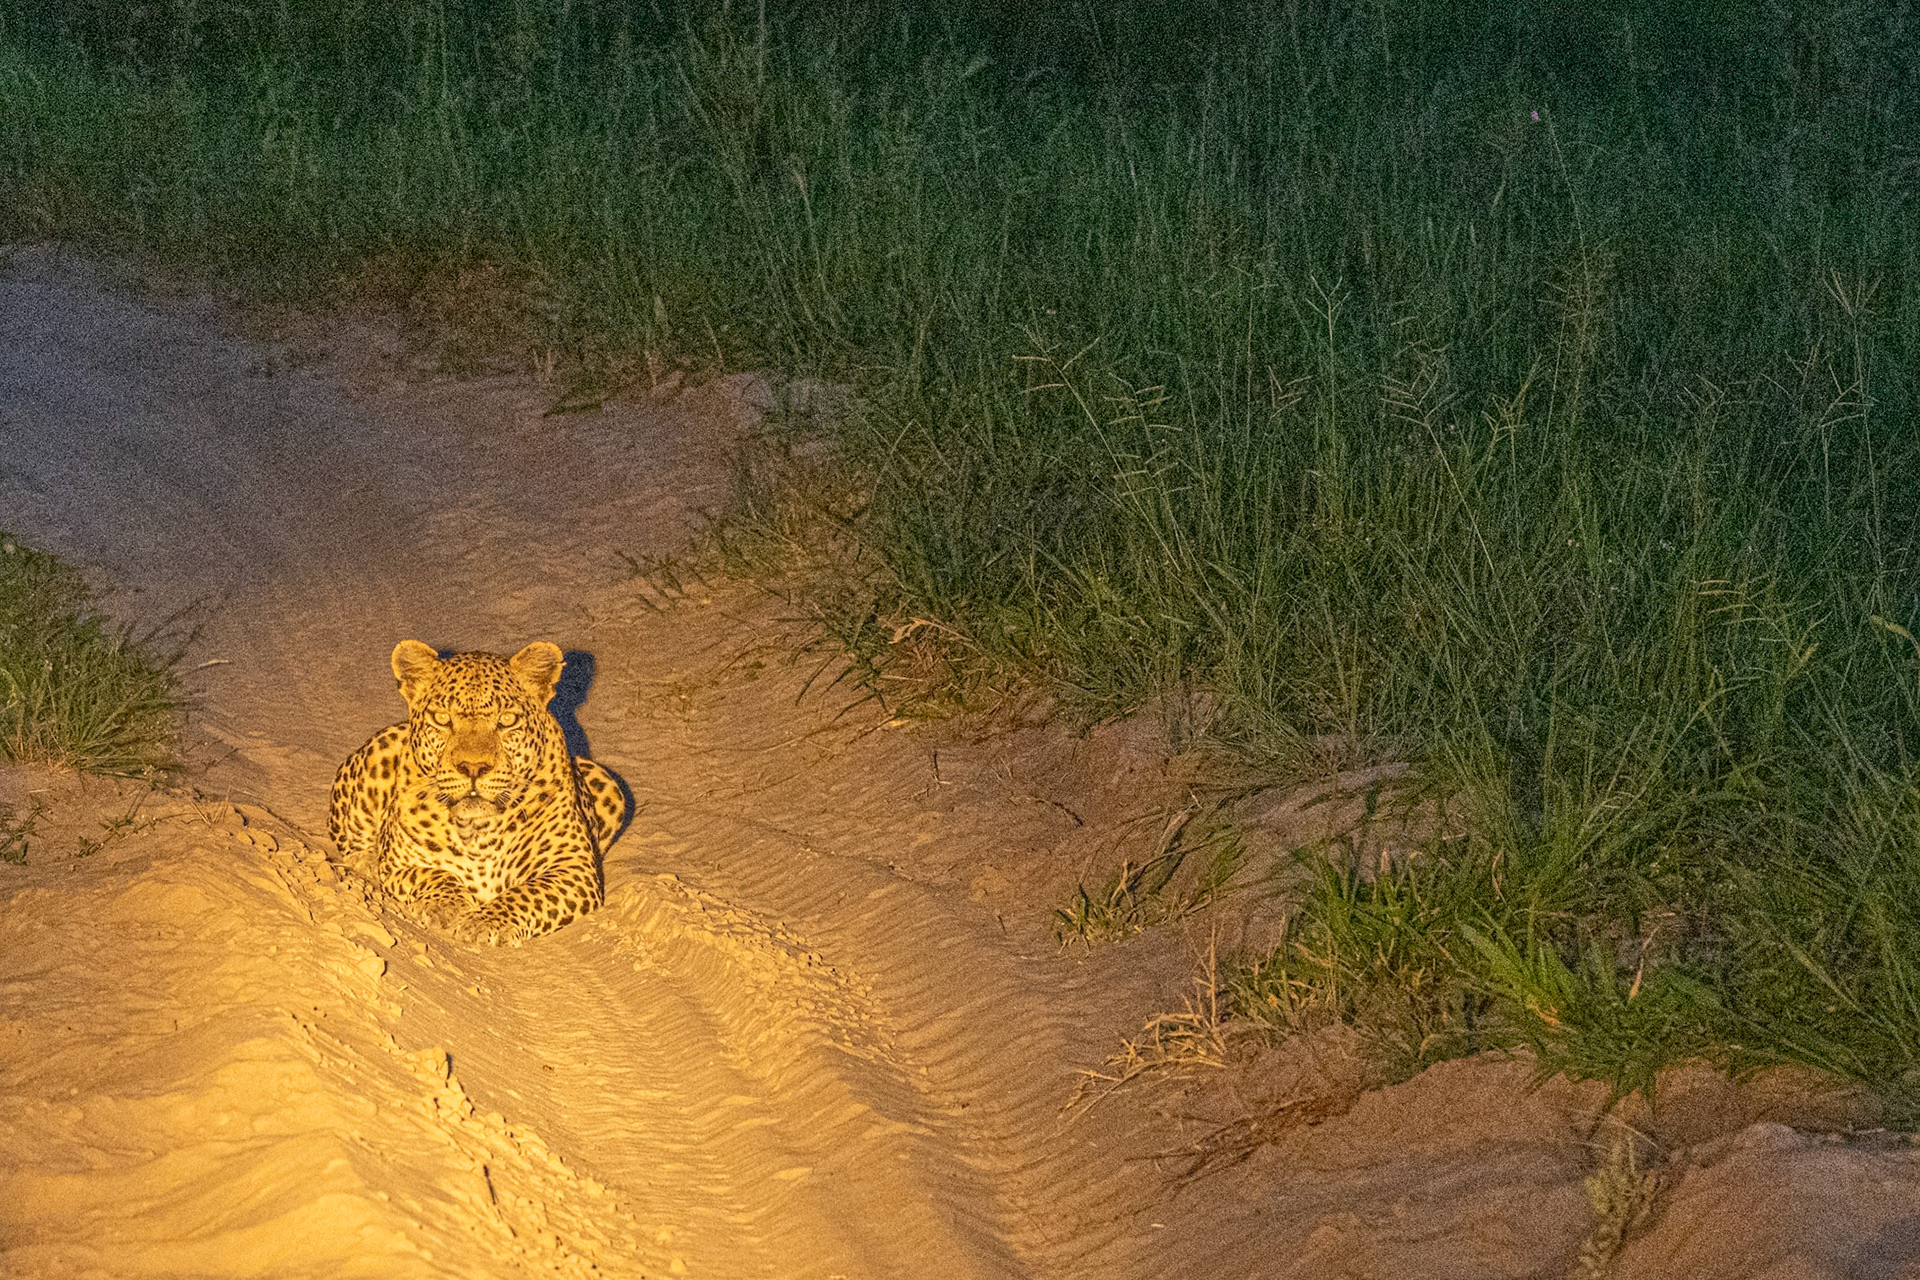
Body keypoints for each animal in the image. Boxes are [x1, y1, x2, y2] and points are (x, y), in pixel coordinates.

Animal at [329, 639, 628, 945]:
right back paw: (364, 863)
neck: (476, 830)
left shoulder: (573, 869)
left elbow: (528, 893)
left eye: (507, 719)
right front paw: (447, 906)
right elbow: (434, 874)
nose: (473, 768)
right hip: (378, 751)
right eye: (442, 718)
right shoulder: (398, 866)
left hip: (608, 782)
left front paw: (484, 922)